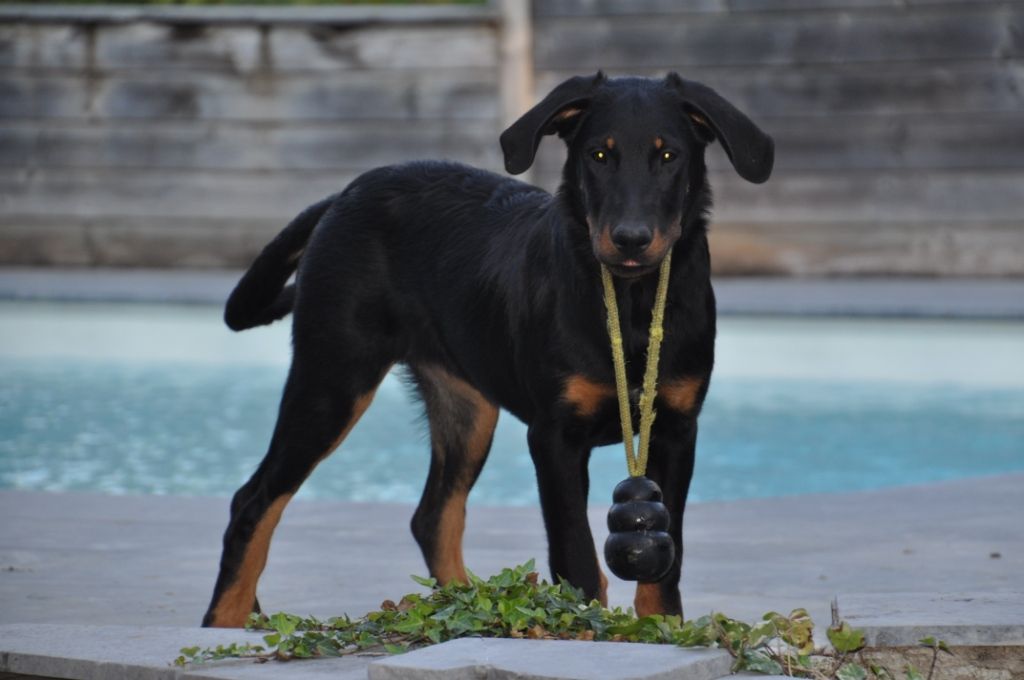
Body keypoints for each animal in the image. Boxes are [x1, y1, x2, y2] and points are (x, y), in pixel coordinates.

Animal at [203, 73, 770, 626]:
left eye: (669, 155)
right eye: (598, 155)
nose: (631, 239)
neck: (631, 300)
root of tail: (347, 192)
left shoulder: (676, 428)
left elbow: (665, 560)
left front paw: (660, 631)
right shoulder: (555, 436)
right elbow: (577, 554)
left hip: (467, 407)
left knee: (433, 517)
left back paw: (464, 608)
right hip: (333, 377)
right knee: (252, 501)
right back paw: (225, 620)